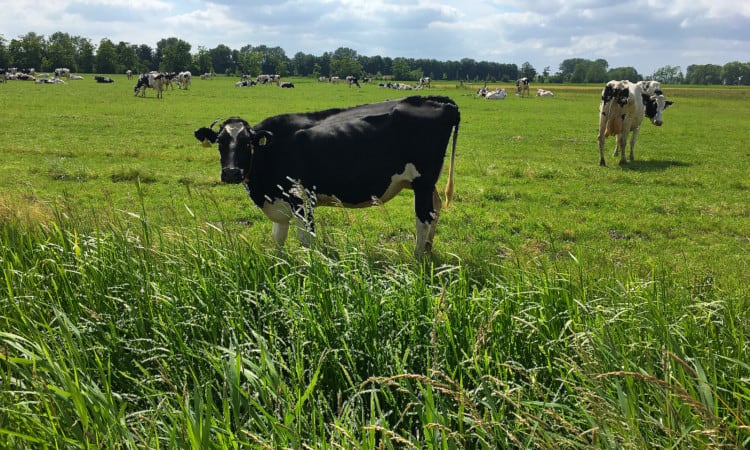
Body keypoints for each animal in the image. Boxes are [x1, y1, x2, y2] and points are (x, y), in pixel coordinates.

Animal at [194, 95, 462, 256]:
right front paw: (279, 265)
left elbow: (306, 239)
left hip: (423, 182)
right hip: (427, 184)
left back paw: (417, 258)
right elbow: (278, 237)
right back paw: (428, 249)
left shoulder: (301, 199)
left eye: (247, 143)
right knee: (436, 209)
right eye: (220, 142)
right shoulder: (279, 202)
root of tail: (437, 101)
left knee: (423, 218)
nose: (231, 172)